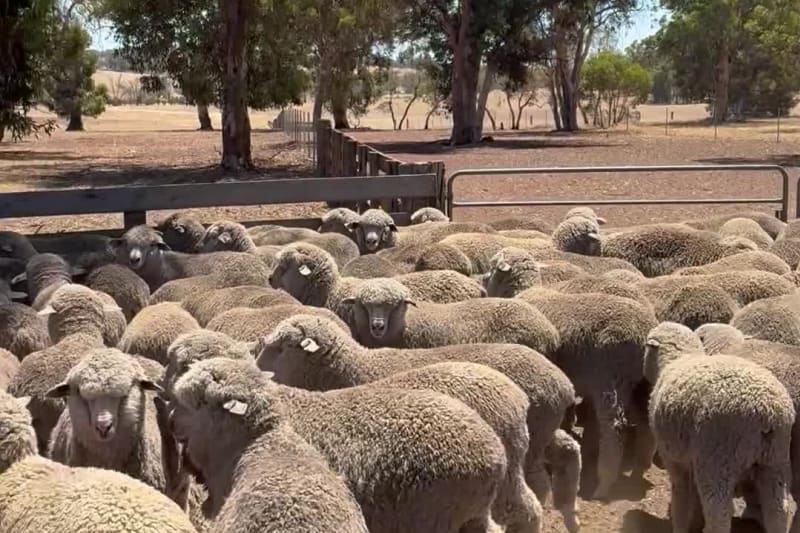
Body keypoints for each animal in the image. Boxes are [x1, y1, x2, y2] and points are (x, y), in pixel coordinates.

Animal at [257, 314, 581, 532]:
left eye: (283, 346)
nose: (257, 369)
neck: (351, 369)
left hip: (521, 455)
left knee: (530, 500)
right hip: (536, 439)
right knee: (566, 454)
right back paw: (571, 514)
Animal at [516, 288, 658, 499]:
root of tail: (645, 332)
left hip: (611, 377)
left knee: (613, 428)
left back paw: (604, 483)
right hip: (641, 383)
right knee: (646, 421)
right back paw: (640, 467)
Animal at [644, 322, 795, 533]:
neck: (679, 359)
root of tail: (768, 412)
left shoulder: (675, 459)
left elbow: (681, 498)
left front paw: (681, 525)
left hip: (717, 460)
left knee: (718, 515)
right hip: (775, 460)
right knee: (779, 510)